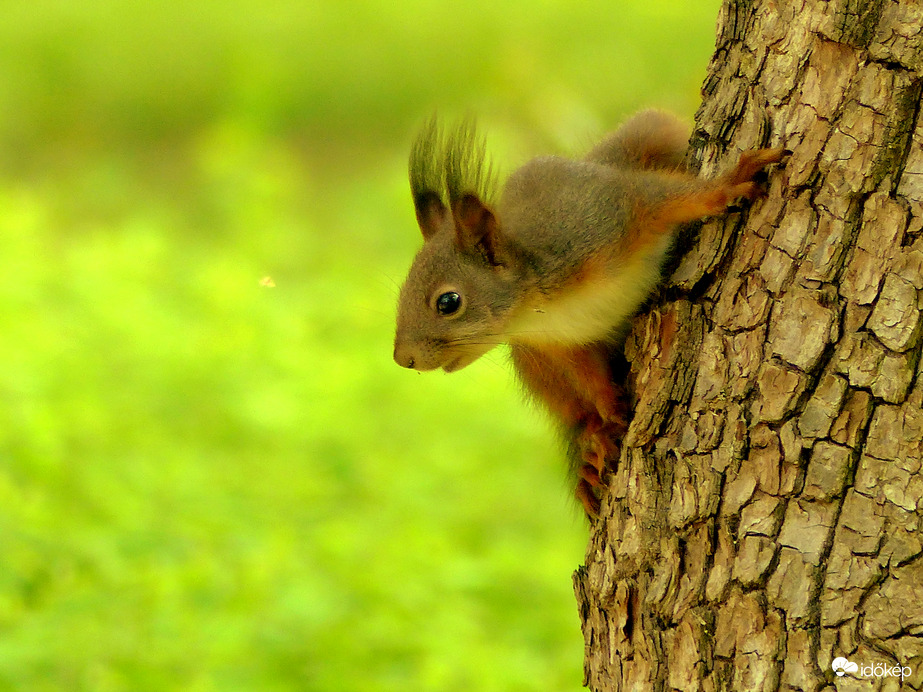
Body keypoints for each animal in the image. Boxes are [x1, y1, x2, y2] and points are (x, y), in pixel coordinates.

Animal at [394, 111, 784, 516]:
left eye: (448, 302)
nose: (403, 358)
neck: (540, 308)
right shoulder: (560, 342)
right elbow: (588, 376)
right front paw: (610, 410)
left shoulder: (605, 217)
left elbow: (664, 198)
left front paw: (729, 184)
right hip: (534, 364)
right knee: (576, 415)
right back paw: (591, 449)